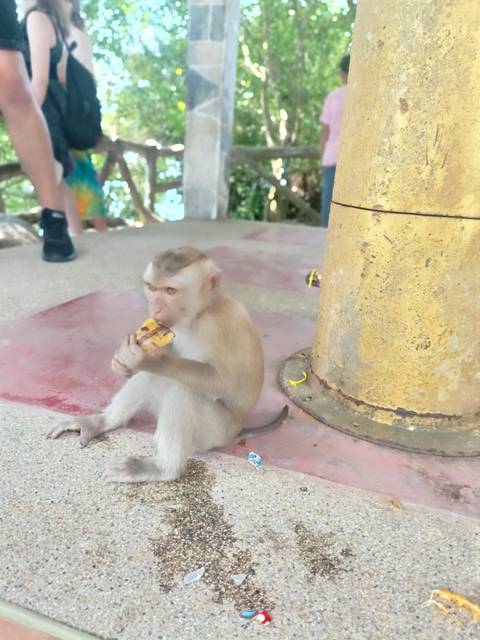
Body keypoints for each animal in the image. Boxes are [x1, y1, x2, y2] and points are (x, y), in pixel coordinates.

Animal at [47, 247, 288, 482]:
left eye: (171, 291)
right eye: (152, 288)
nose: (155, 309)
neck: (199, 314)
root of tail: (236, 431)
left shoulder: (218, 327)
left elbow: (224, 383)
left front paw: (152, 360)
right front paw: (123, 362)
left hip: (215, 432)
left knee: (186, 392)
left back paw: (163, 469)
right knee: (149, 378)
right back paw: (101, 422)